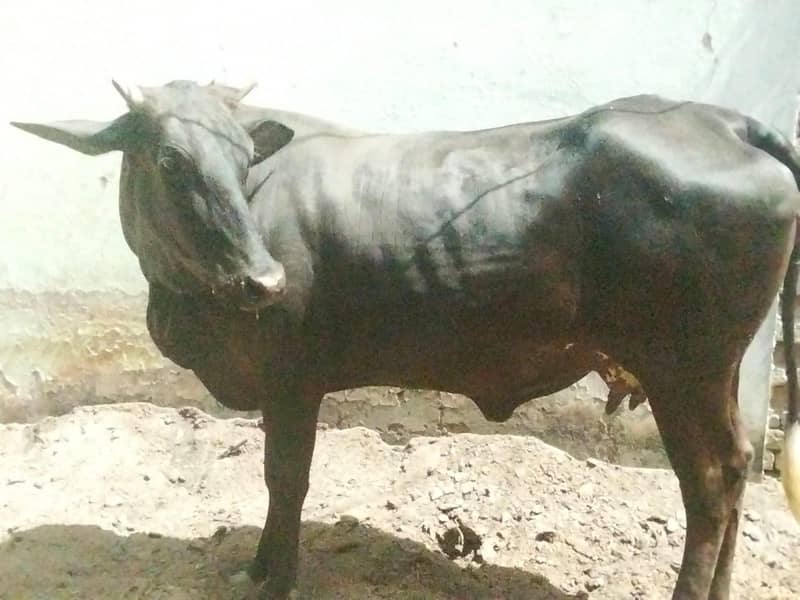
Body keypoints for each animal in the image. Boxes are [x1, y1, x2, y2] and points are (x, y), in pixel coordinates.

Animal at [11, 79, 800, 600]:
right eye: (169, 160)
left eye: (242, 157)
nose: (265, 281)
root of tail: (722, 120)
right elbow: (275, 480)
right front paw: (260, 566)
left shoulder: (292, 380)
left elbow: (286, 480)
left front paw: (275, 577)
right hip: (715, 370)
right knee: (737, 466)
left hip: (683, 369)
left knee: (708, 483)